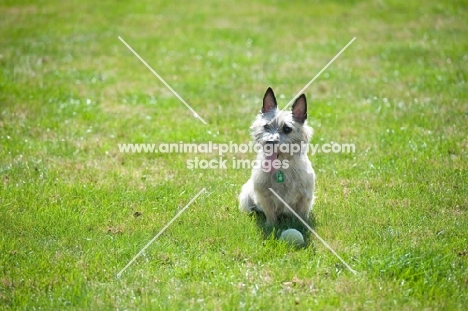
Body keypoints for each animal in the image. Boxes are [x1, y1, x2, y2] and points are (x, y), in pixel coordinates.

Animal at [241, 86, 314, 225]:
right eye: (266, 126)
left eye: (287, 129)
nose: (270, 142)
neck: (281, 166)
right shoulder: (263, 194)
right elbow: (270, 213)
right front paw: (271, 226)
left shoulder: (305, 195)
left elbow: (302, 213)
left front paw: (301, 226)